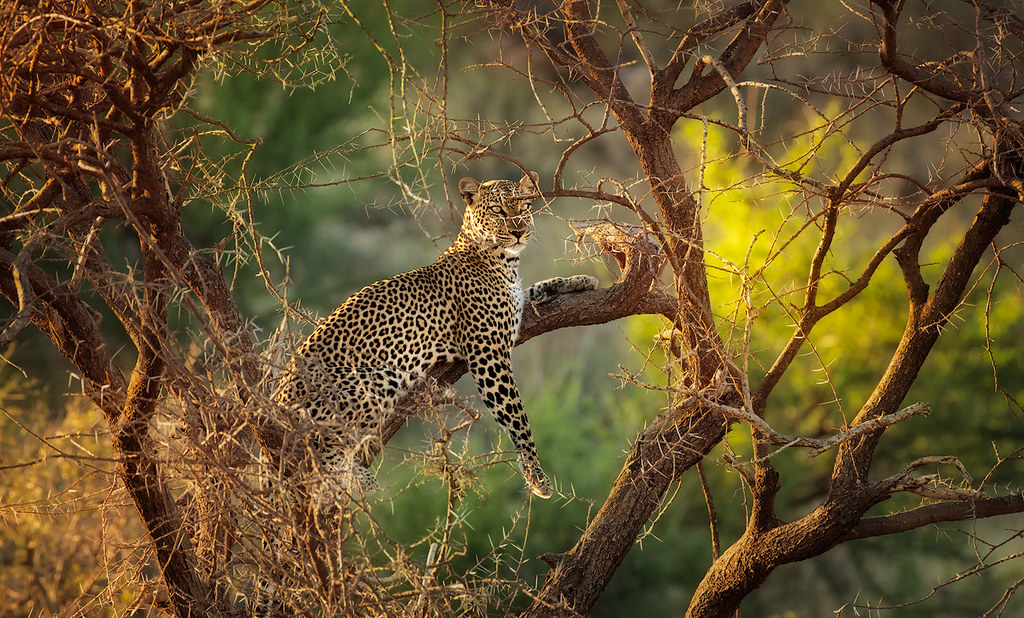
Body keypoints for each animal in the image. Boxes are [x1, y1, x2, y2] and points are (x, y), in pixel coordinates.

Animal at [273, 171, 598, 499]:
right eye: (497, 210)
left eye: (525, 207)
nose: (519, 231)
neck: (504, 262)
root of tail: (275, 398)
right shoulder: (489, 357)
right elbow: (517, 417)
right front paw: (536, 475)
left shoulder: (516, 307)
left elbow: (537, 288)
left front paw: (581, 280)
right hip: (376, 379)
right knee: (317, 449)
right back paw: (360, 478)